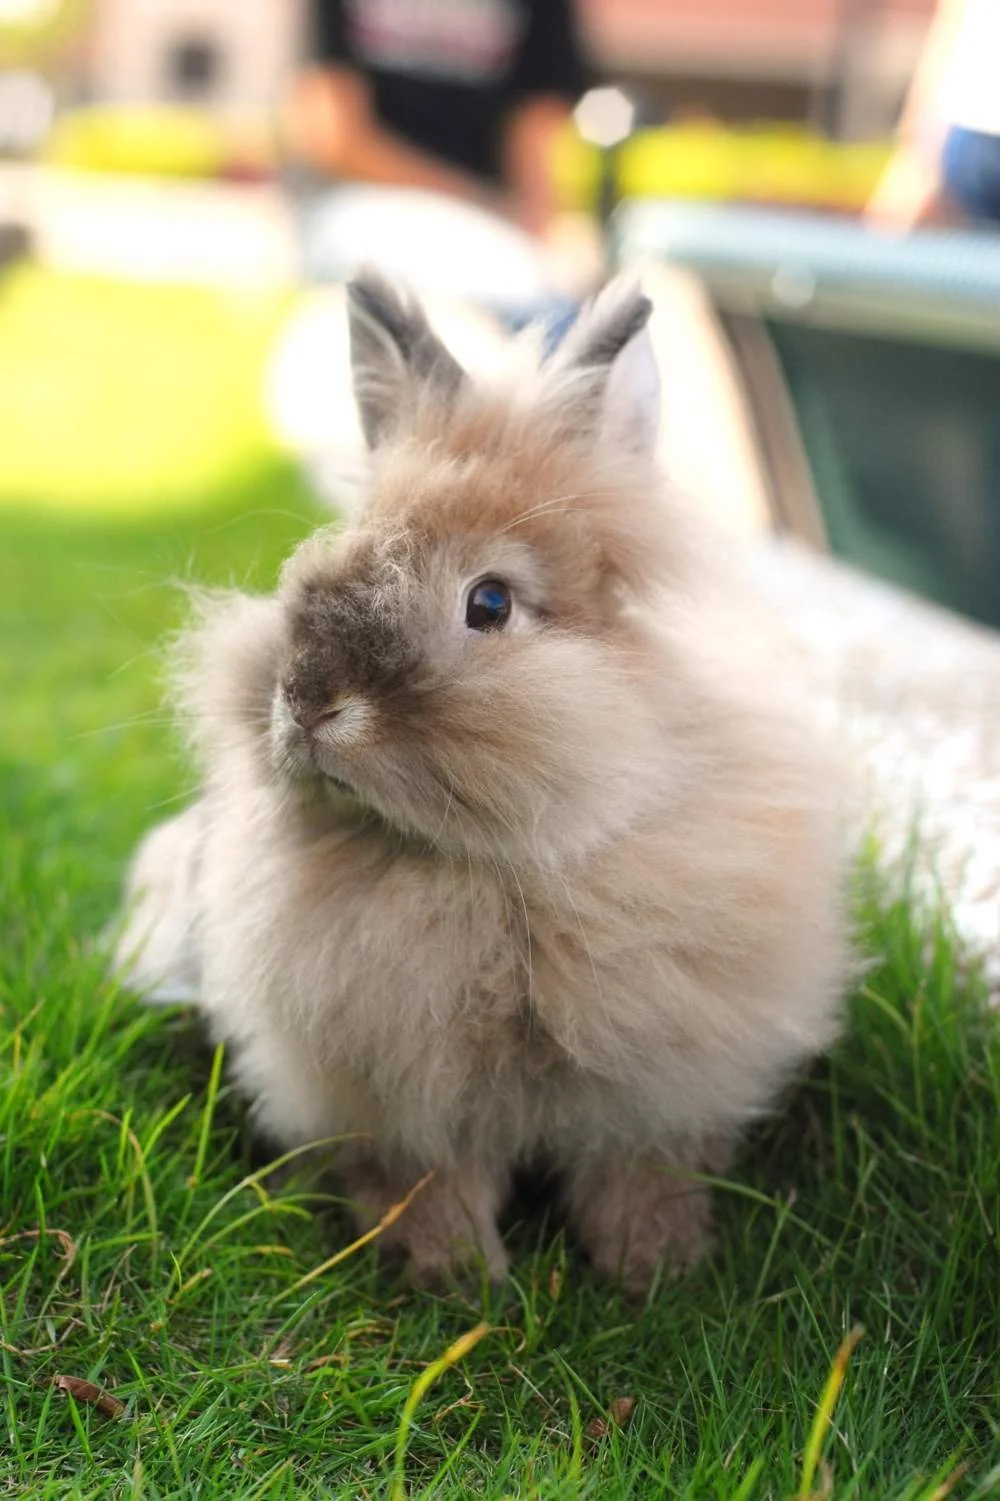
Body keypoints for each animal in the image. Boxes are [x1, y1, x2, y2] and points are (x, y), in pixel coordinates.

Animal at [114, 271, 851, 1295]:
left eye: (491, 602)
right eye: (320, 561)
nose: (306, 701)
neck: (496, 874)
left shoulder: (659, 1093)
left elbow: (639, 1173)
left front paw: (655, 1269)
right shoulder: (394, 1102)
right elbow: (426, 1182)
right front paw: (459, 1278)